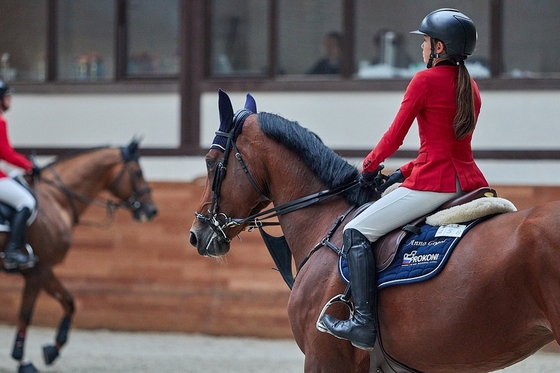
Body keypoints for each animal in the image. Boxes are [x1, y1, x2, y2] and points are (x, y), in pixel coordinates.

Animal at [0, 140, 158, 372]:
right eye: (138, 172)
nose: (152, 210)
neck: (56, 199)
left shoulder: (43, 270)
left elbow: (69, 302)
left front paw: (53, 350)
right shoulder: (38, 271)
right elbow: (25, 316)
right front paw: (23, 362)